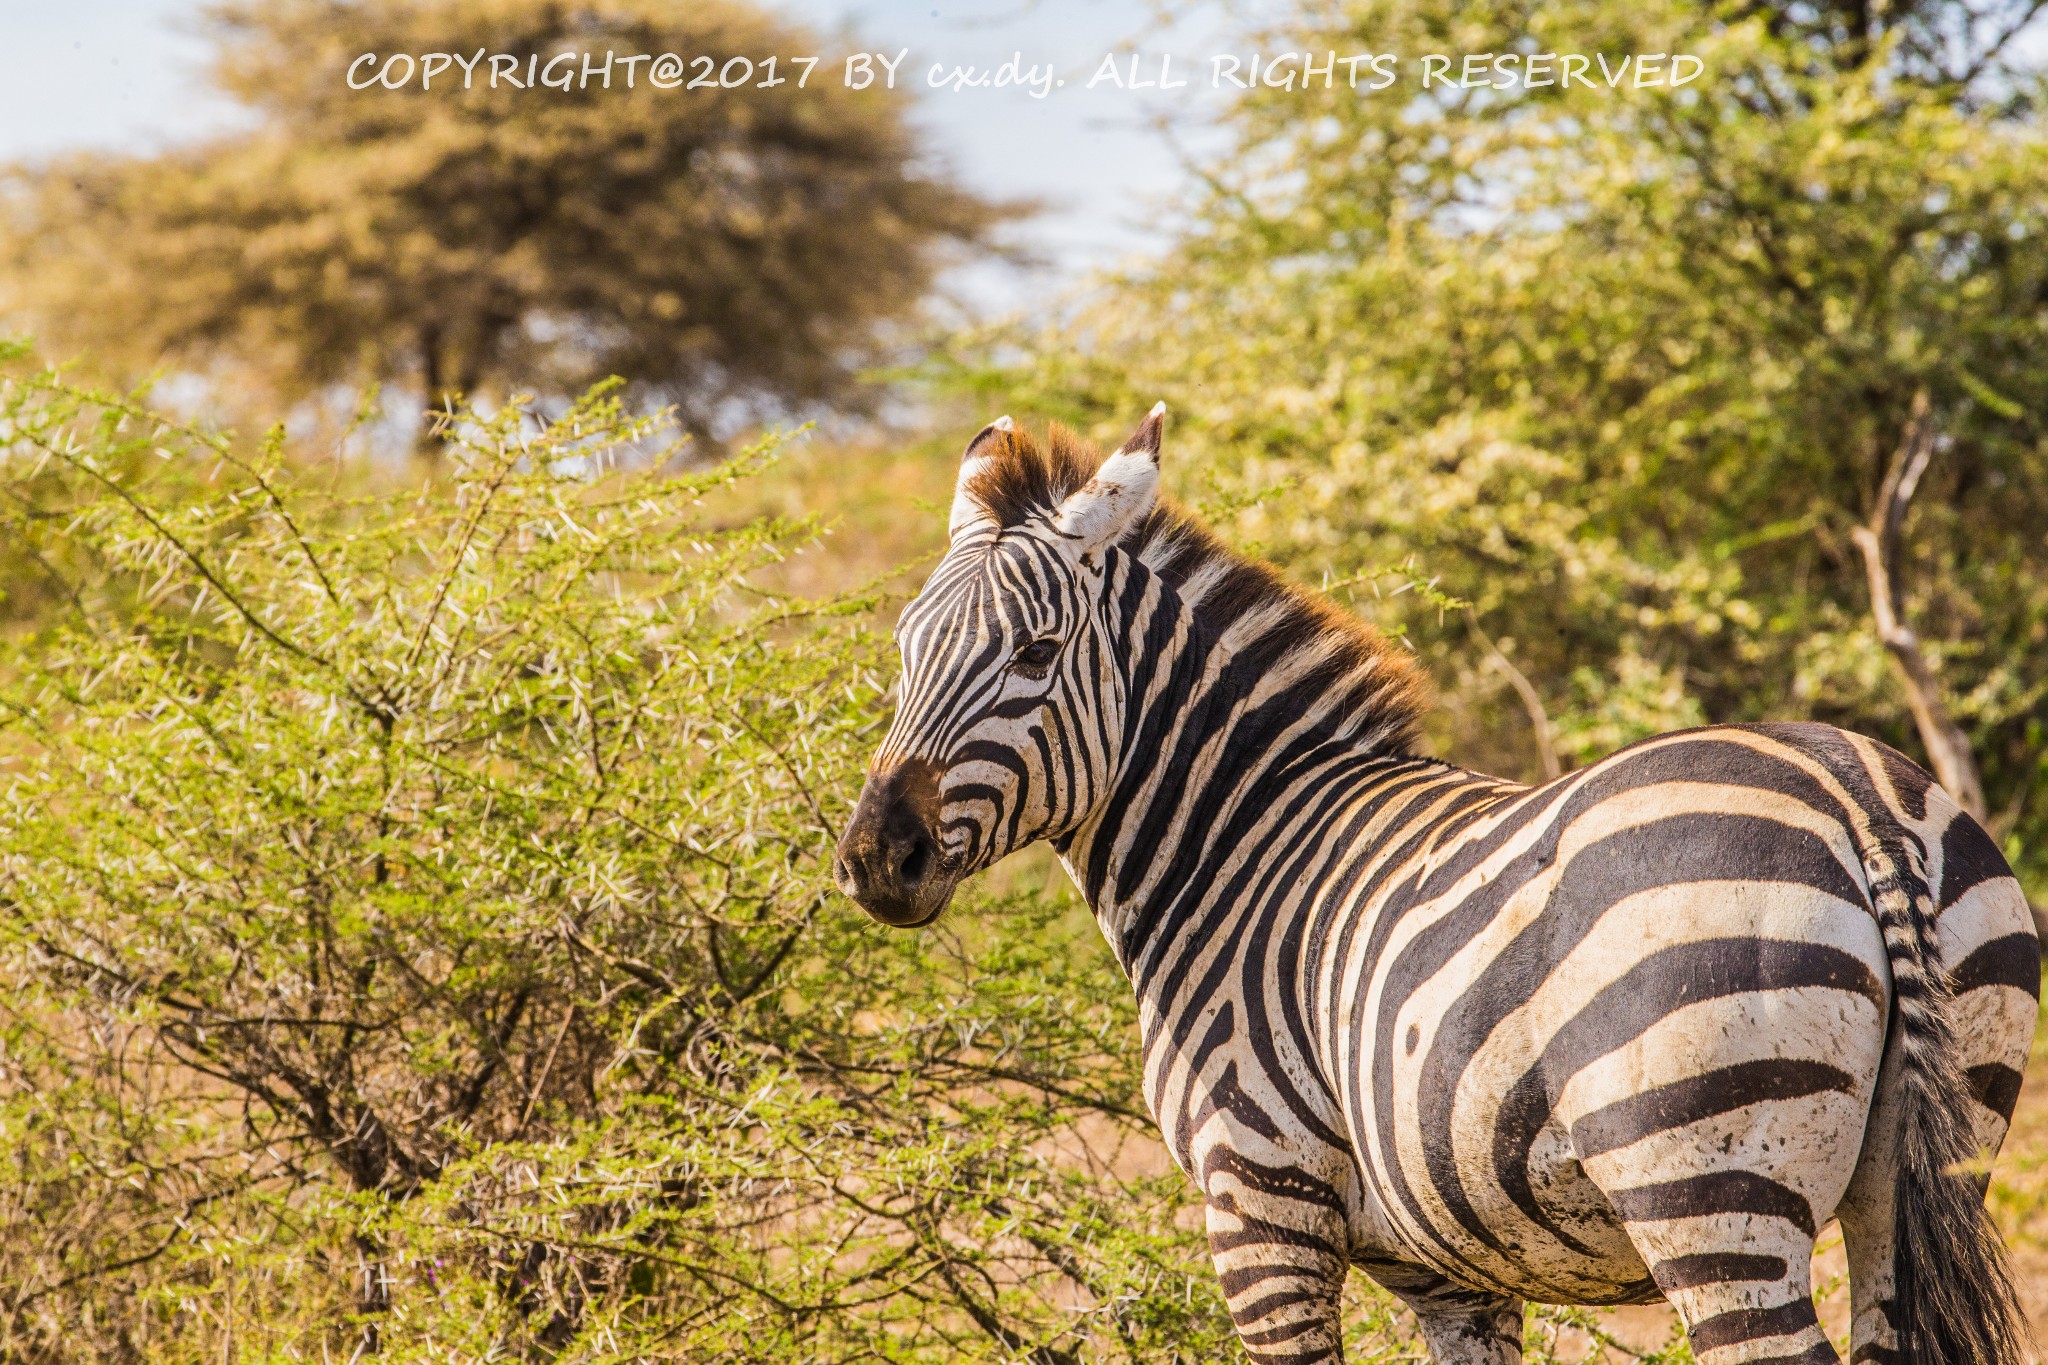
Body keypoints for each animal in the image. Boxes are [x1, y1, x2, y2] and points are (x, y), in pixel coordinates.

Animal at [827, 411, 2031, 1365]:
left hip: (1706, 1184)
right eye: (903, 648)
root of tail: (1855, 795)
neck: (1233, 841)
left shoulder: (1261, 1205)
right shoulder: (1453, 1269)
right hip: (1923, 1168)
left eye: (1035, 652)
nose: (875, 858)